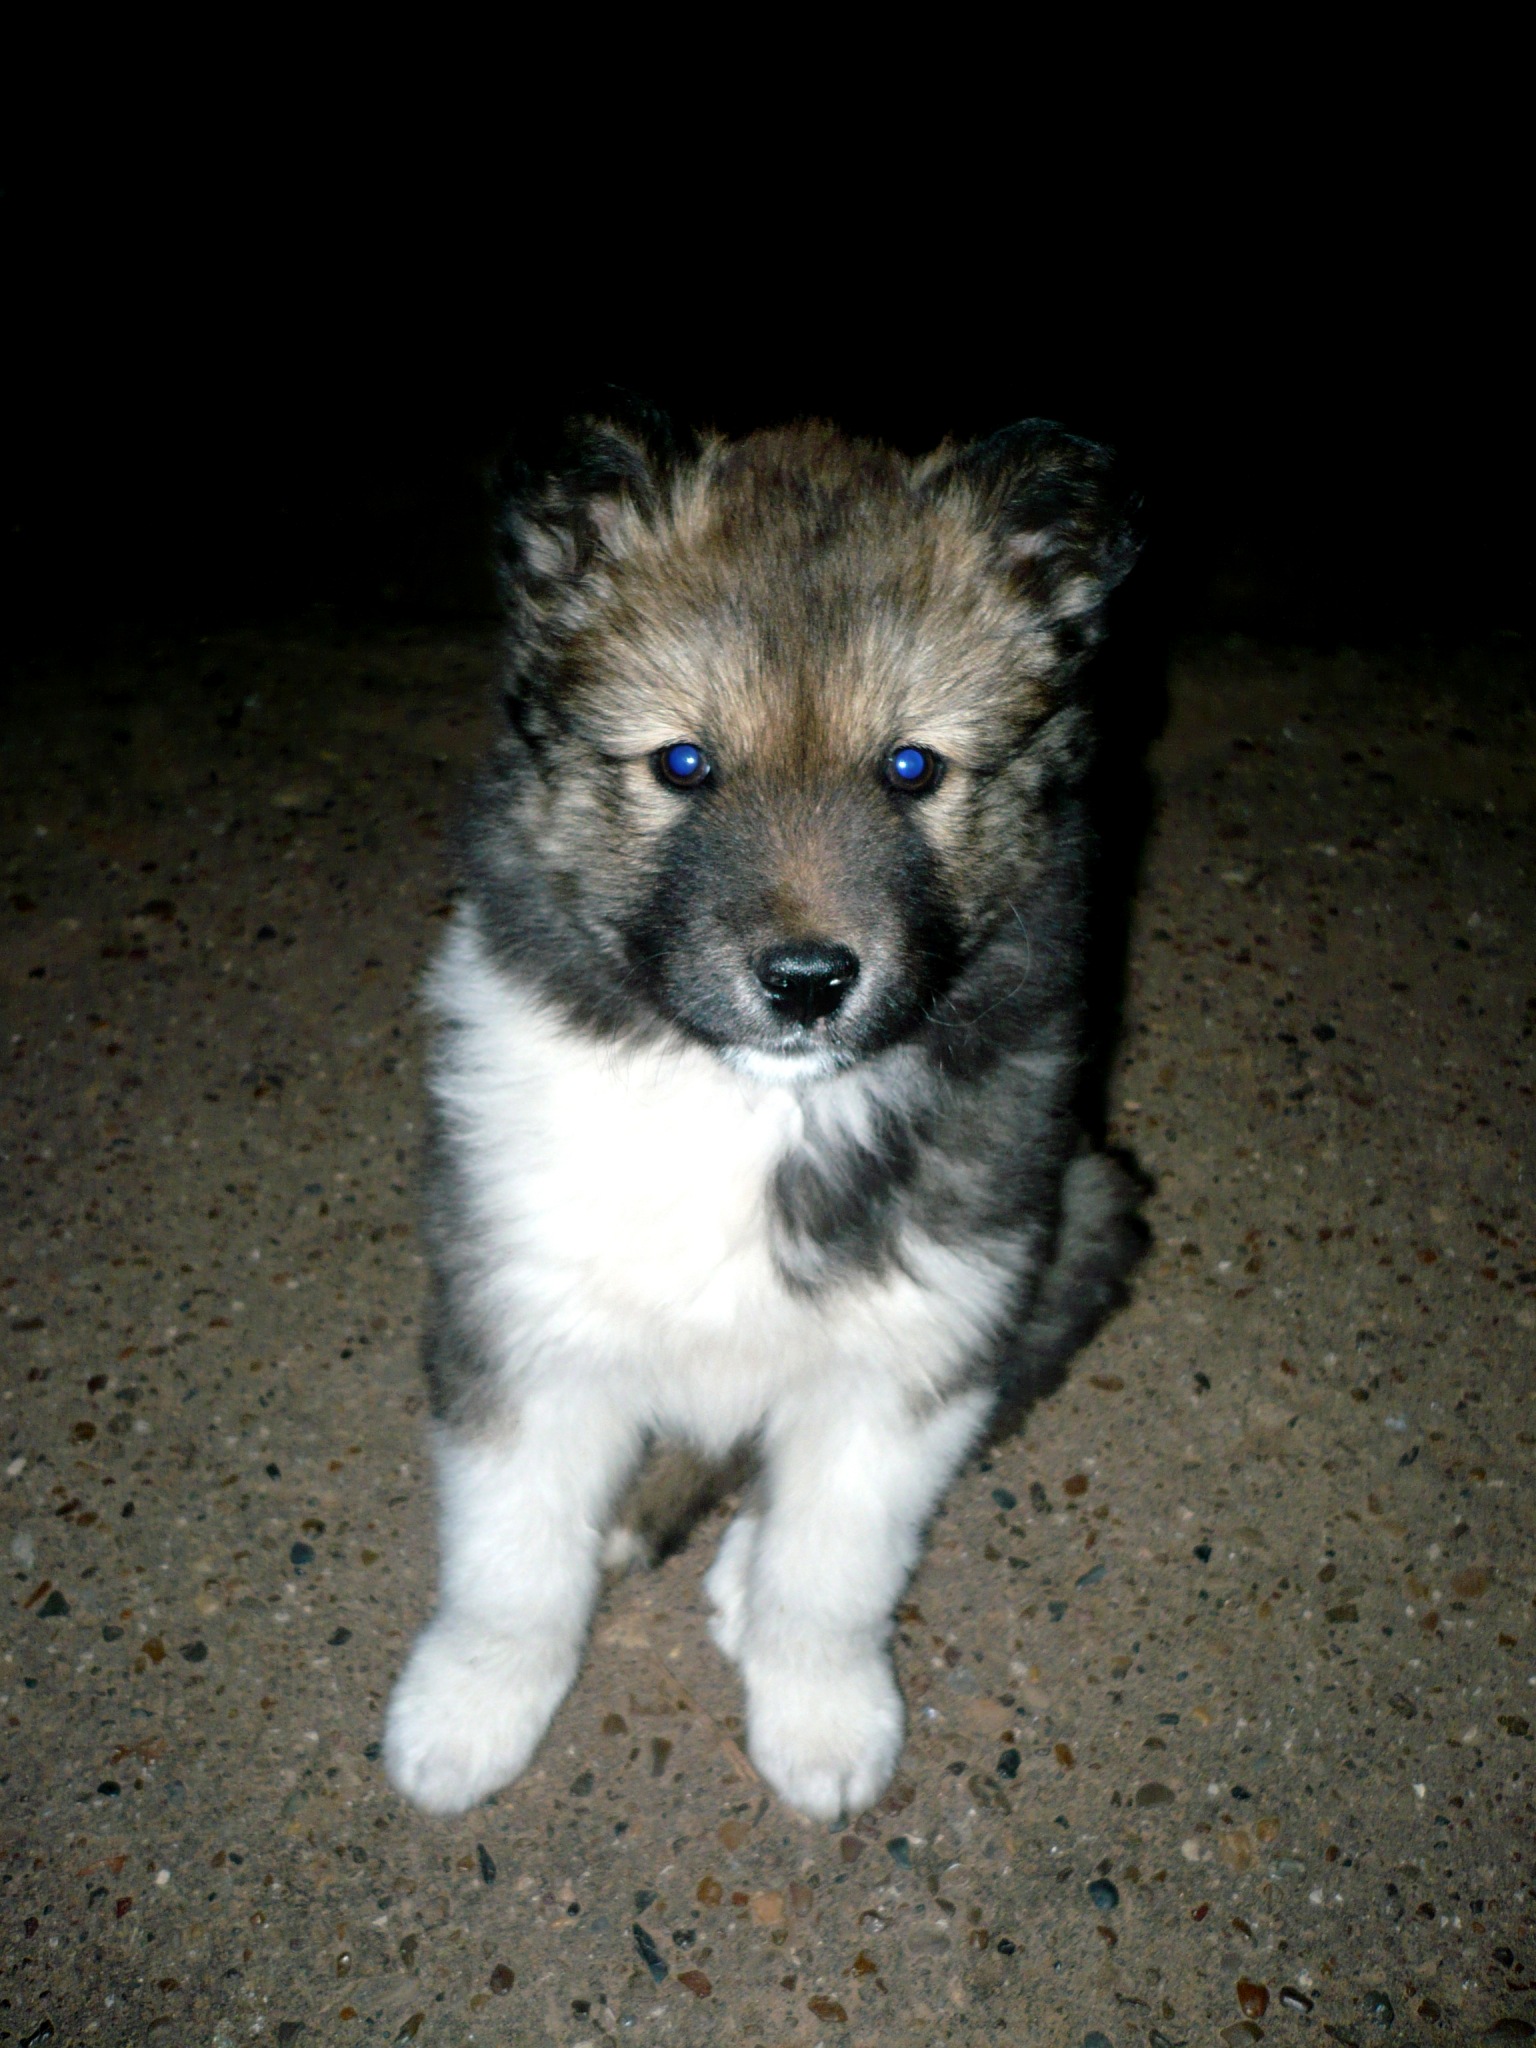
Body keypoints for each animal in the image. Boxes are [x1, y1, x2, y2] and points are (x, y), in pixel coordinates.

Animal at [383, 399, 1147, 1822]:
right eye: (684, 763)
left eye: (912, 767)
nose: (806, 981)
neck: (748, 1101)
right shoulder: (516, 1306)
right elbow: (511, 1553)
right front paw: (466, 1709)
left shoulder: (919, 1336)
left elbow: (832, 1560)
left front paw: (824, 1722)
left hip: (1083, 1210)